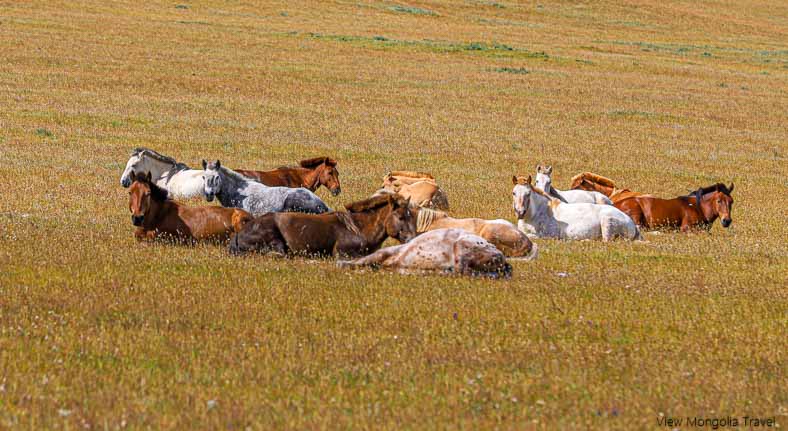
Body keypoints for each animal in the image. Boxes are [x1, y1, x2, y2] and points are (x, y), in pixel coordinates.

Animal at [229, 194, 418, 258]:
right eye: (400, 216)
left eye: (413, 216)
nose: (413, 239)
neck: (359, 228)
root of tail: (239, 234)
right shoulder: (343, 253)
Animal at [510, 176, 640, 243]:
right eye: (514, 193)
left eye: (528, 194)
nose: (520, 213)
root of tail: (631, 222)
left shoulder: (549, 235)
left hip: (607, 223)